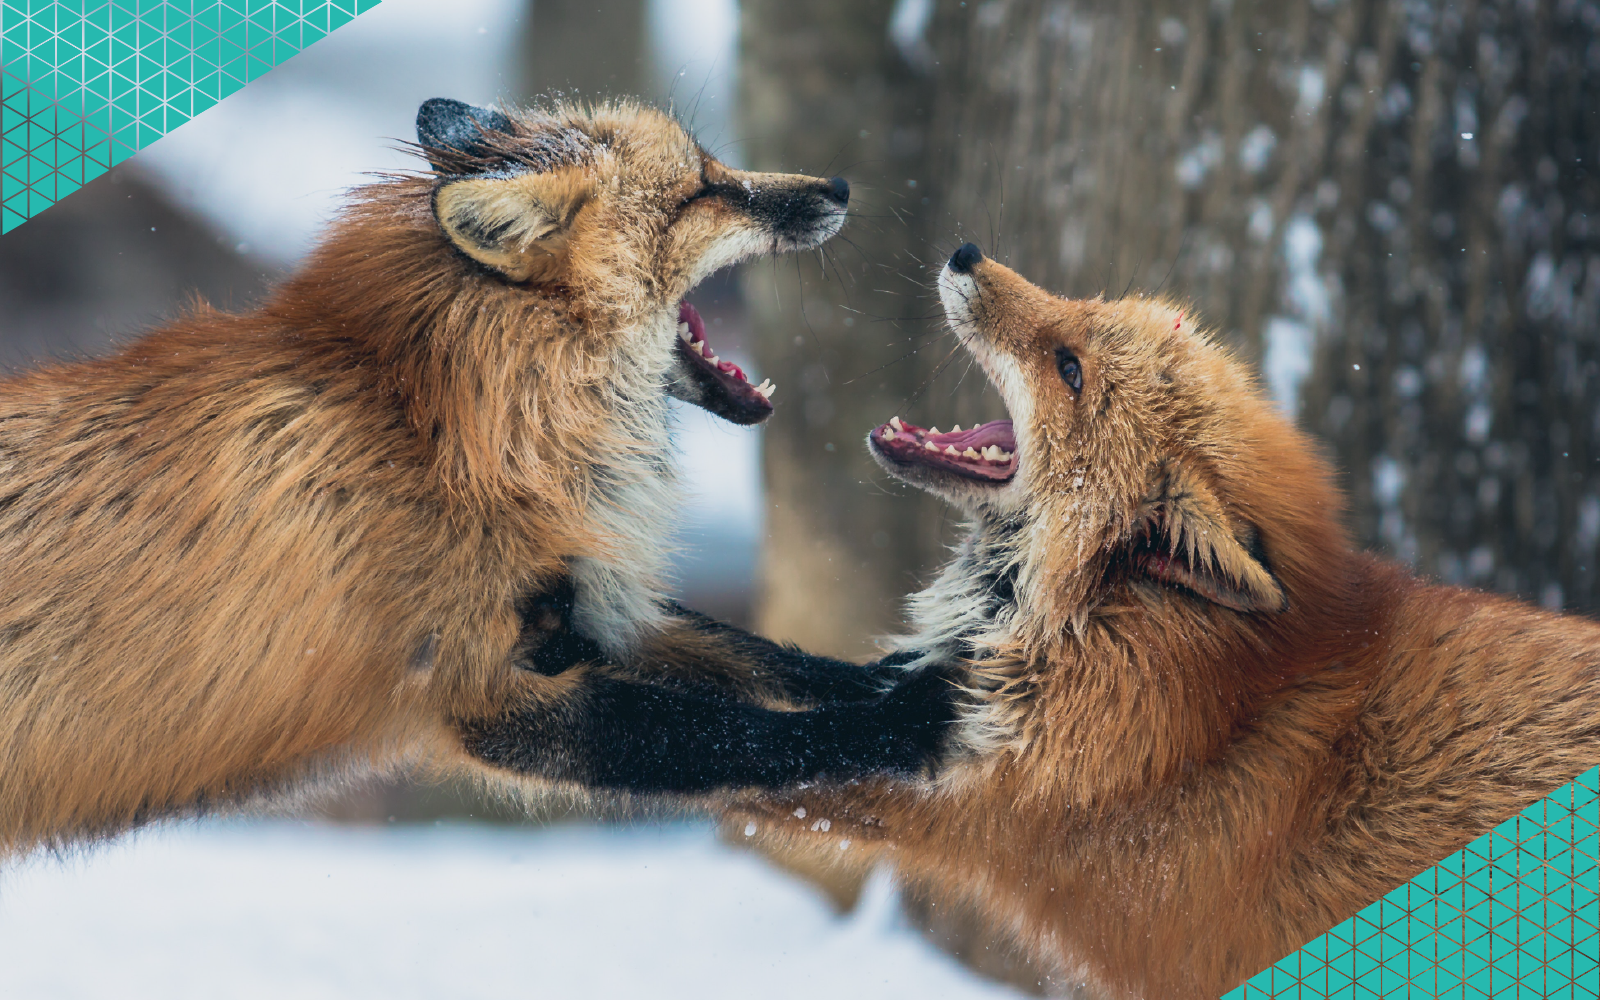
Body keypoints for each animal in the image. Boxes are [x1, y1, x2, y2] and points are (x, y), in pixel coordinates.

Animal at [0, 97, 957, 858]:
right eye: (699, 191)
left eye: (714, 166)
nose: (840, 187)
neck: (443, 430)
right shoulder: (489, 691)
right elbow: (741, 735)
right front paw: (910, 720)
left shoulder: (590, 608)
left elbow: (763, 658)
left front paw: (901, 674)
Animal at [702, 244, 1600, 999]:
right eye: (1085, 307)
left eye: (1069, 368)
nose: (965, 252)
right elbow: (771, 666)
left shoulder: (966, 806)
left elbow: (749, 753)